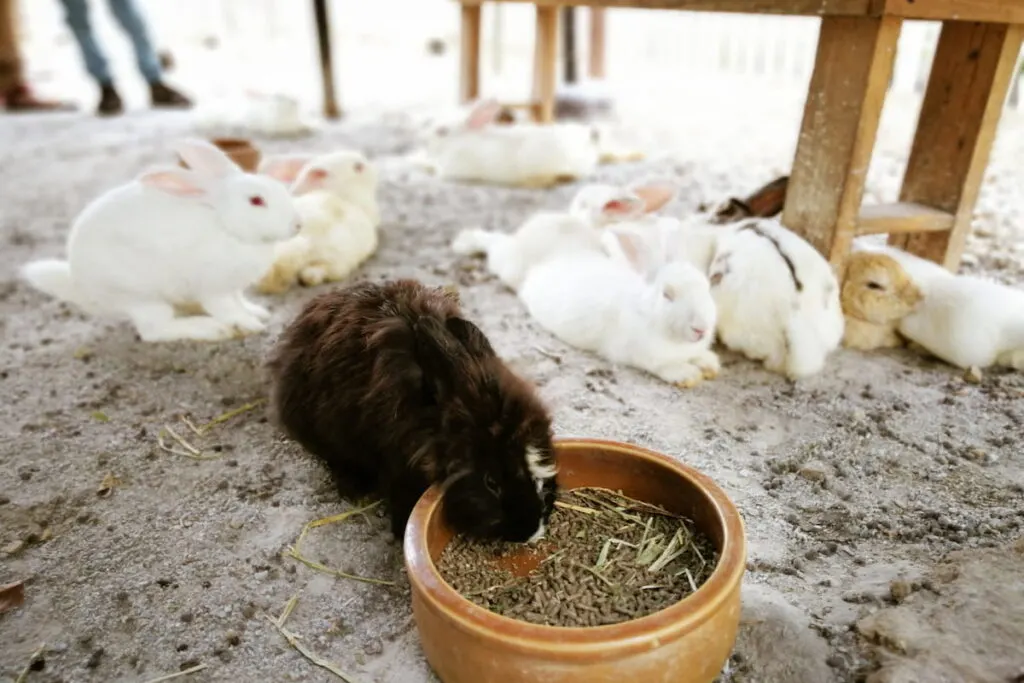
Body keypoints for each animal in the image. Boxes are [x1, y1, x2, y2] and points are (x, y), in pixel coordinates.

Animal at [18, 139, 299, 342]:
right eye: (256, 200)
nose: (297, 225)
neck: (224, 224)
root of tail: (82, 287)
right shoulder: (213, 289)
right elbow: (227, 309)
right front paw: (250, 325)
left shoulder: (234, 287)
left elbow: (240, 301)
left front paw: (257, 312)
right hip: (142, 297)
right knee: (154, 331)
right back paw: (209, 329)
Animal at [520, 224, 720, 385]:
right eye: (667, 294)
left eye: (707, 287)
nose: (701, 328)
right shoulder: (641, 355)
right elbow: (662, 366)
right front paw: (688, 375)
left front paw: (711, 365)